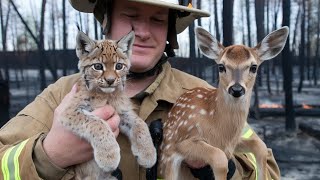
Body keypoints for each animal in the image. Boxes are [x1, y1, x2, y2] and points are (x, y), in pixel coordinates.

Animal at [59, 31, 157, 180]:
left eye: (119, 66)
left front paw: (148, 153)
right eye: (98, 66)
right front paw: (109, 155)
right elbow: (96, 123)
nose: (110, 81)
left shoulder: (121, 112)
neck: (106, 95)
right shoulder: (68, 111)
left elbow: (140, 123)